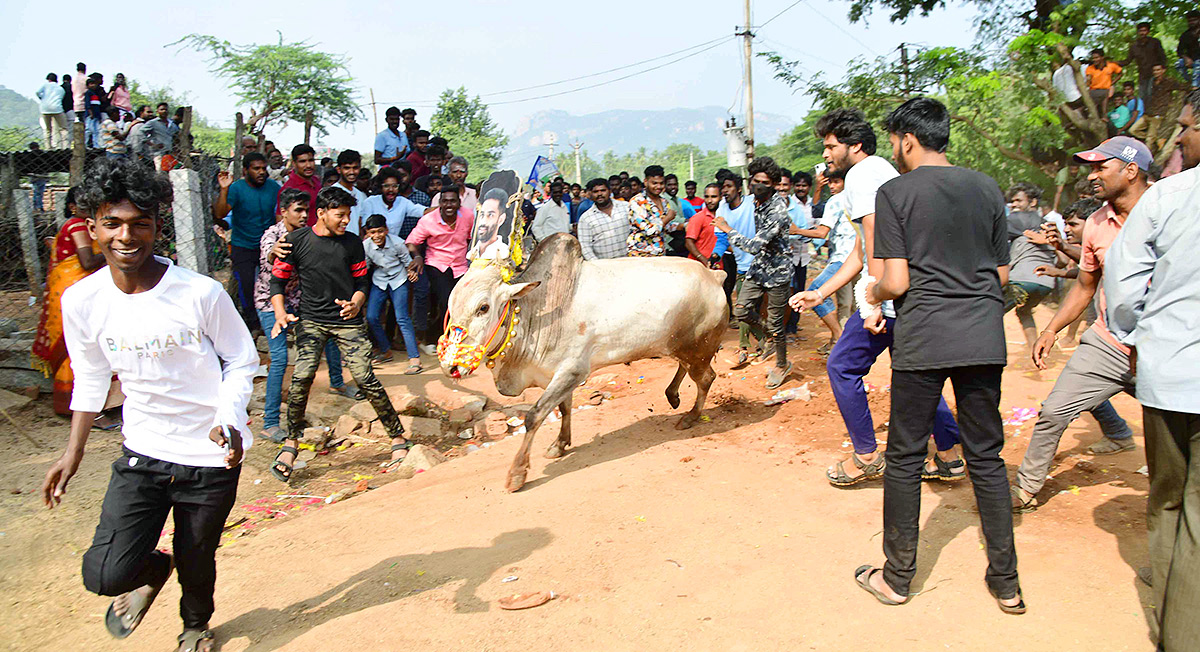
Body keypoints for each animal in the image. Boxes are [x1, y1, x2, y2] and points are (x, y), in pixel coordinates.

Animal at [439, 232, 724, 489]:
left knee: (706, 378)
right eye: (451, 307)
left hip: (697, 348)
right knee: (685, 368)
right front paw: (559, 444)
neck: (533, 313)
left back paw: (691, 416)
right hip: (680, 346)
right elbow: (564, 409)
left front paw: (517, 474)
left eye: (483, 307)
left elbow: (534, 416)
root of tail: (714, 276)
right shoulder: (557, 377)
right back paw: (672, 395)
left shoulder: (572, 371)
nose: (449, 366)